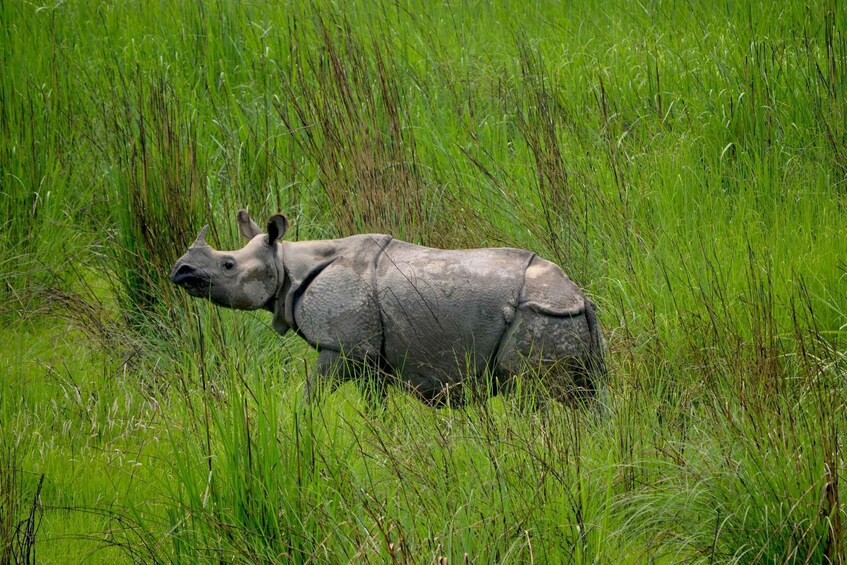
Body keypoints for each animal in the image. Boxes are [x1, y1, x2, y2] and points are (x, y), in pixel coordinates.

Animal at [170, 211, 607, 408]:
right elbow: (375, 403)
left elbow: (313, 391)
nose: (179, 271)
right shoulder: (370, 352)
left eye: (227, 265)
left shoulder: (343, 346)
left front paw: (296, 422)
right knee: (583, 397)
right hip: (563, 316)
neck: (287, 264)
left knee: (538, 393)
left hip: (540, 314)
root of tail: (580, 296)